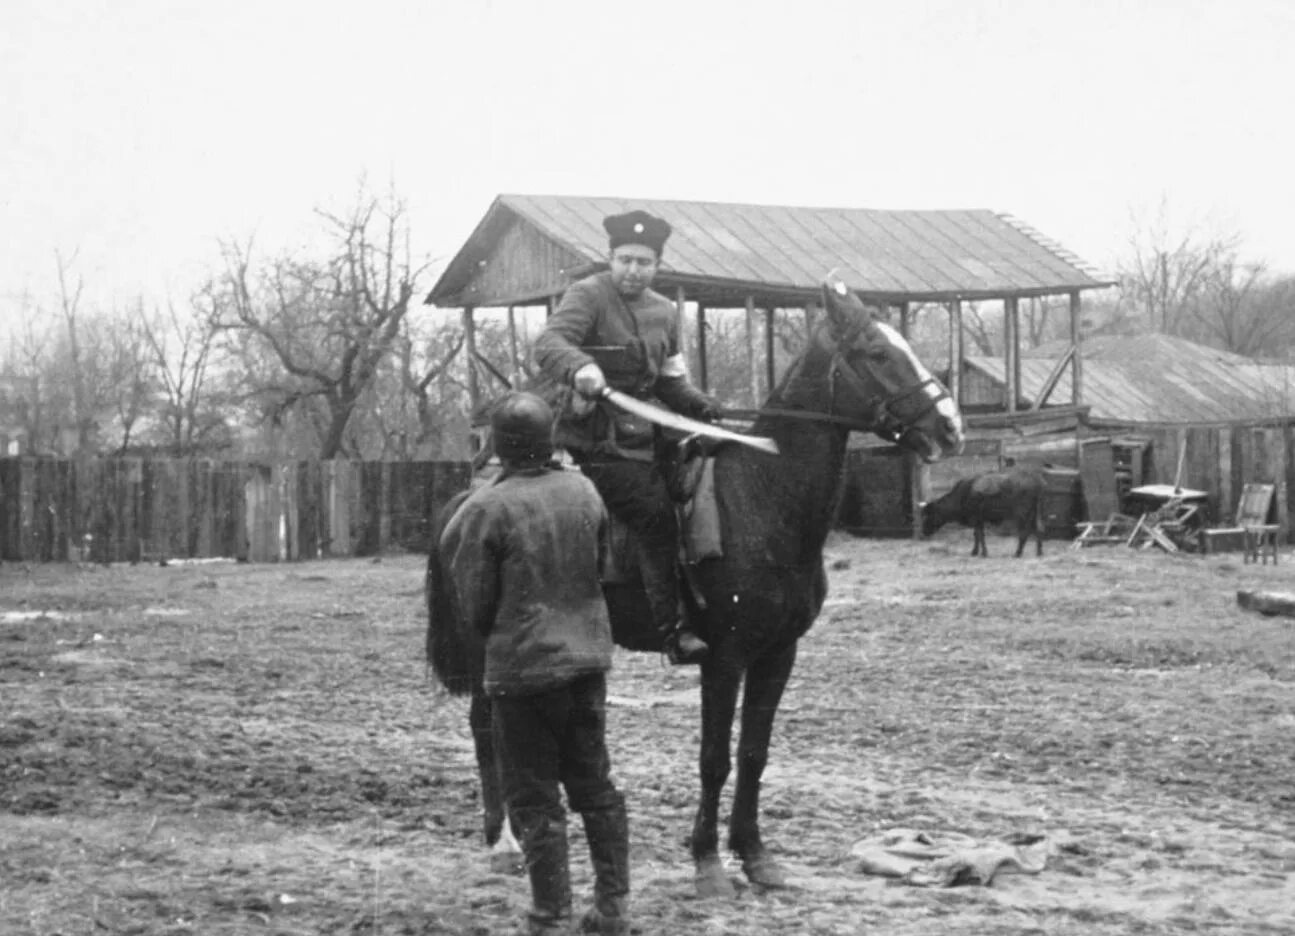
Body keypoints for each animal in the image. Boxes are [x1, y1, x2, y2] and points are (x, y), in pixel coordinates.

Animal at [429, 273, 968, 901]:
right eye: (877, 353)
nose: (950, 427)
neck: (761, 495)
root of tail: (467, 504)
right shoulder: (724, 656)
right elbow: (715, 757)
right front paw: (708, 862)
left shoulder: (777, 654)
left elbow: (753, 753)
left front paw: (756, 857)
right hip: (485, 650)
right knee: (485, 727)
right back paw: (504, 842)